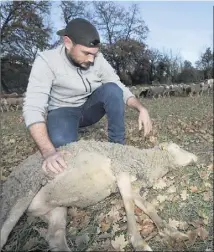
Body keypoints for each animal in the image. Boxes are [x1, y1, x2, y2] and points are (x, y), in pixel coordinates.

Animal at [0, 139, 198, 251]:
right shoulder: (121, 171)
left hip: (55, 208)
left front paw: (171, 231)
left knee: (55, 238)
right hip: (23, 192)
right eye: (177, 147)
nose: (196, 157)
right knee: (4, 233)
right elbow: (129, 205)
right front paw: (139, 243)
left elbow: (147, 205)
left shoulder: (131, 184)